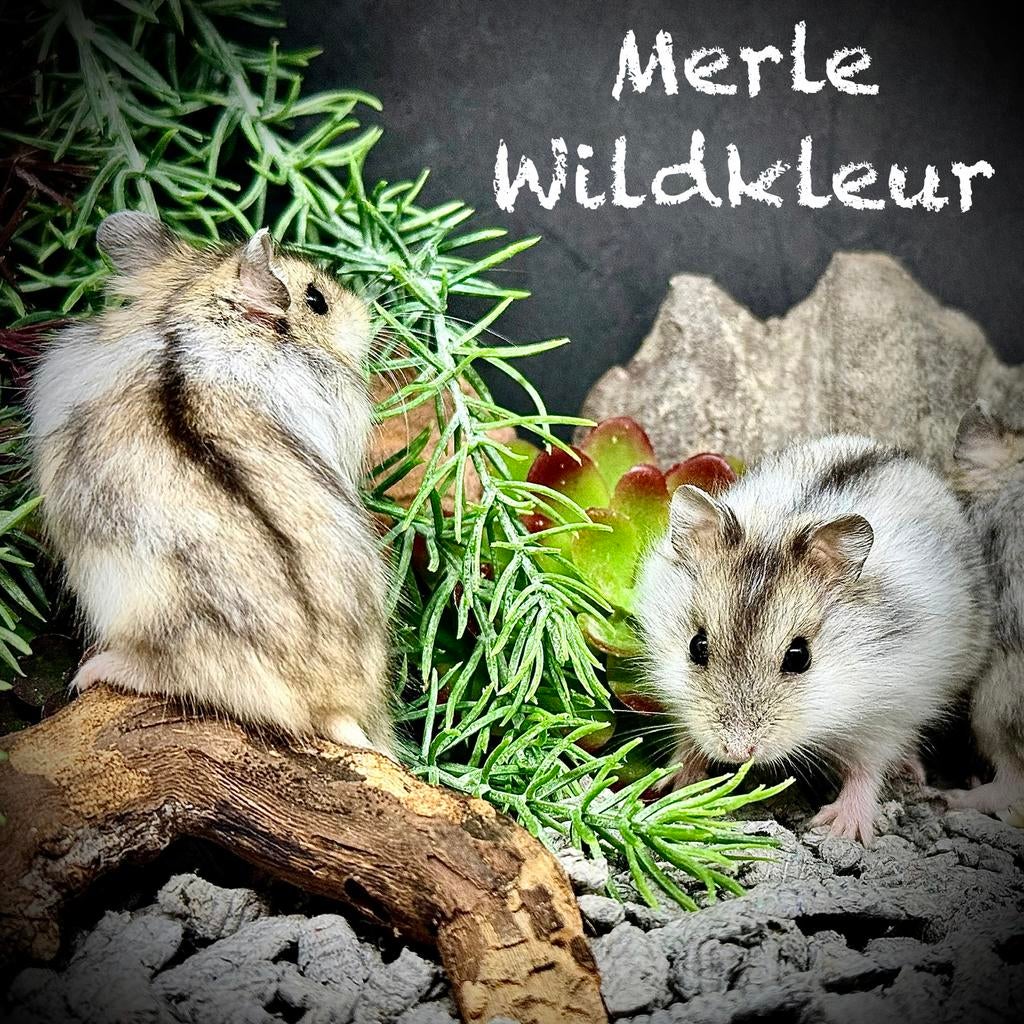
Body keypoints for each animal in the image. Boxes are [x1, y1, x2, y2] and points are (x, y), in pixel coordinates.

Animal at [636, 435, 990, 844]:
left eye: (799, 657)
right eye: (696, 647)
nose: (738, 751)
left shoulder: (888, 712)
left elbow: (866, 770)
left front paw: (840, 829)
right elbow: (688, 739)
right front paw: (676, 783)